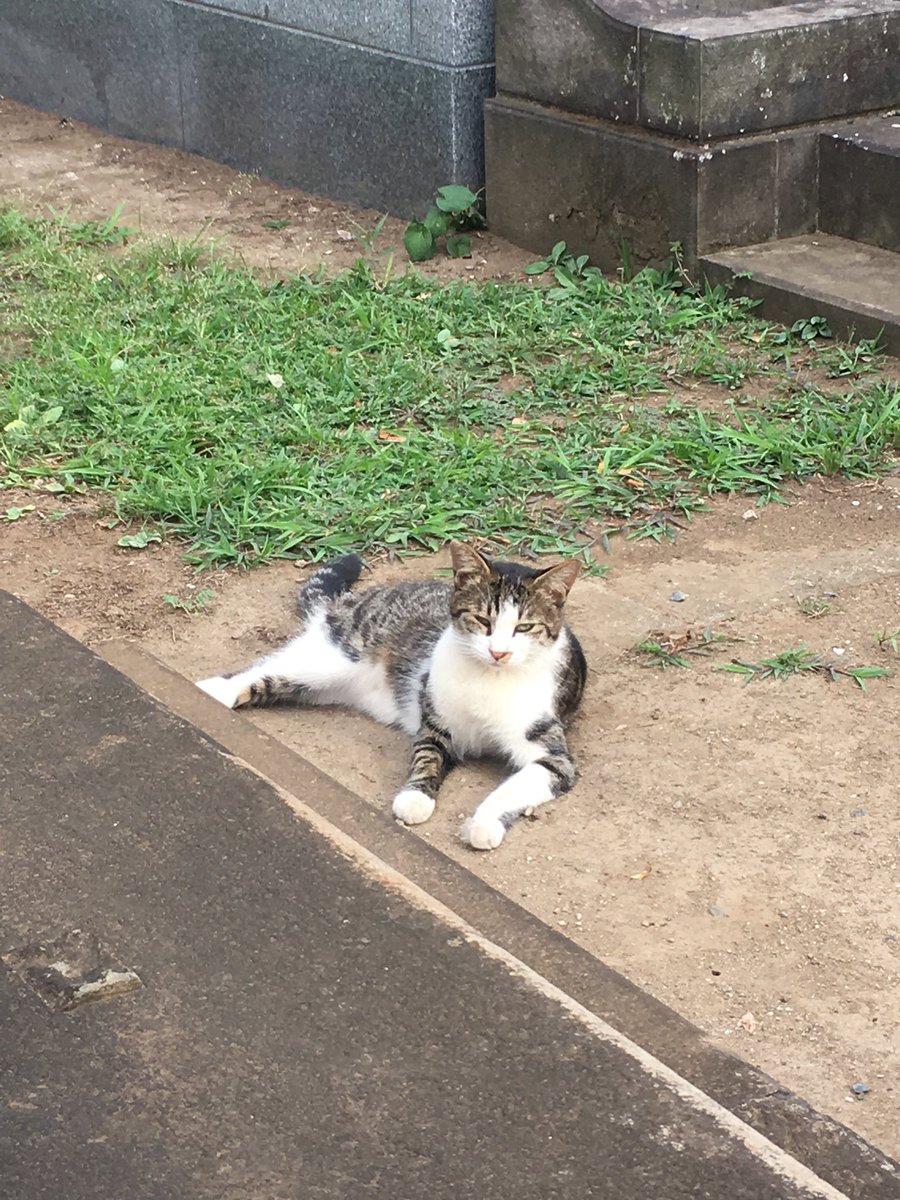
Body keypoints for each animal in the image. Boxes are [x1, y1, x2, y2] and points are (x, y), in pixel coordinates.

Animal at [196, 540, 588, 849]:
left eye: (525, 627)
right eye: (482, 621)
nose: (499, 652)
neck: (488, 678)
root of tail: (352, 599)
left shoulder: (551, 755)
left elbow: (516, 786)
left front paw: (483, 823)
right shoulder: (434, 723)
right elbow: (427, 756)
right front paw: (415, 797)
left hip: (321, 686)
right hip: (332, 658)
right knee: (261, 671)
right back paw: (209, 691)